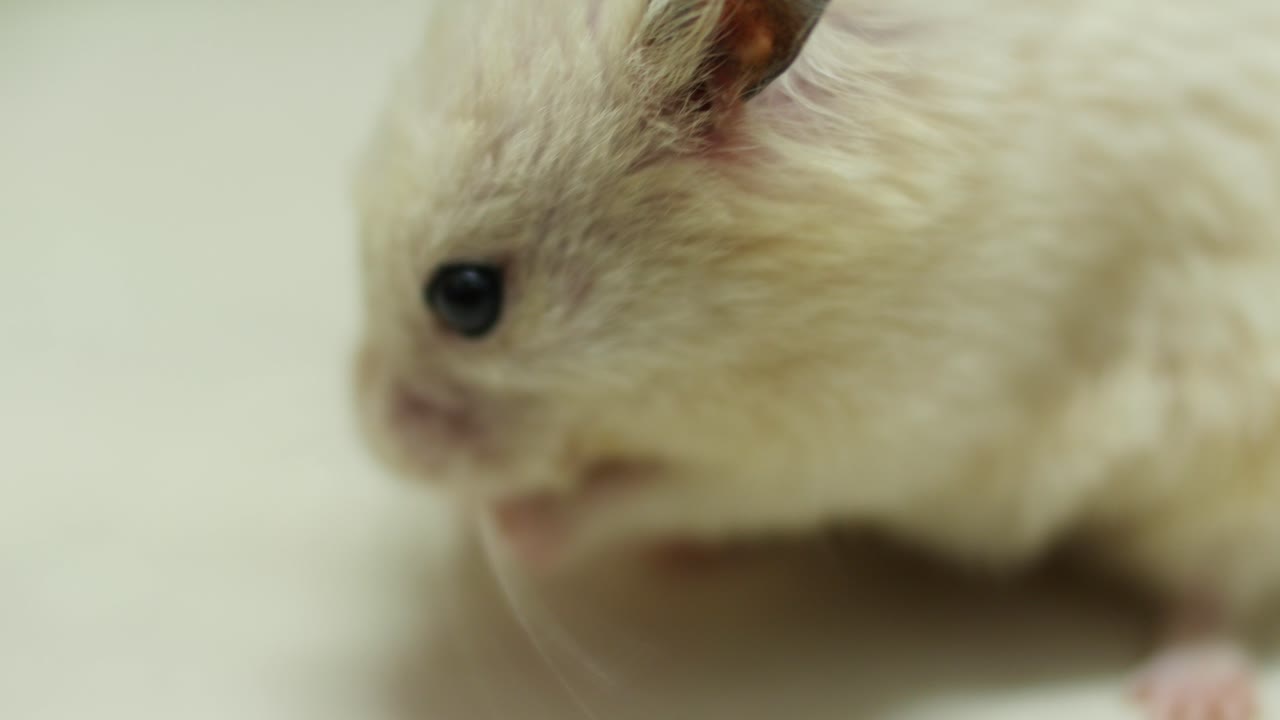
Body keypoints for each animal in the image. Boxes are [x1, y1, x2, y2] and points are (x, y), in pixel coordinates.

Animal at [352, 1, 1280, 716]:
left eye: (465, 297)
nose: (377, 443)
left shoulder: (872, 435)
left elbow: (650, 494)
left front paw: (510, 527)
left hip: (1226, 468)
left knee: (1214, 582)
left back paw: (1190, 693)